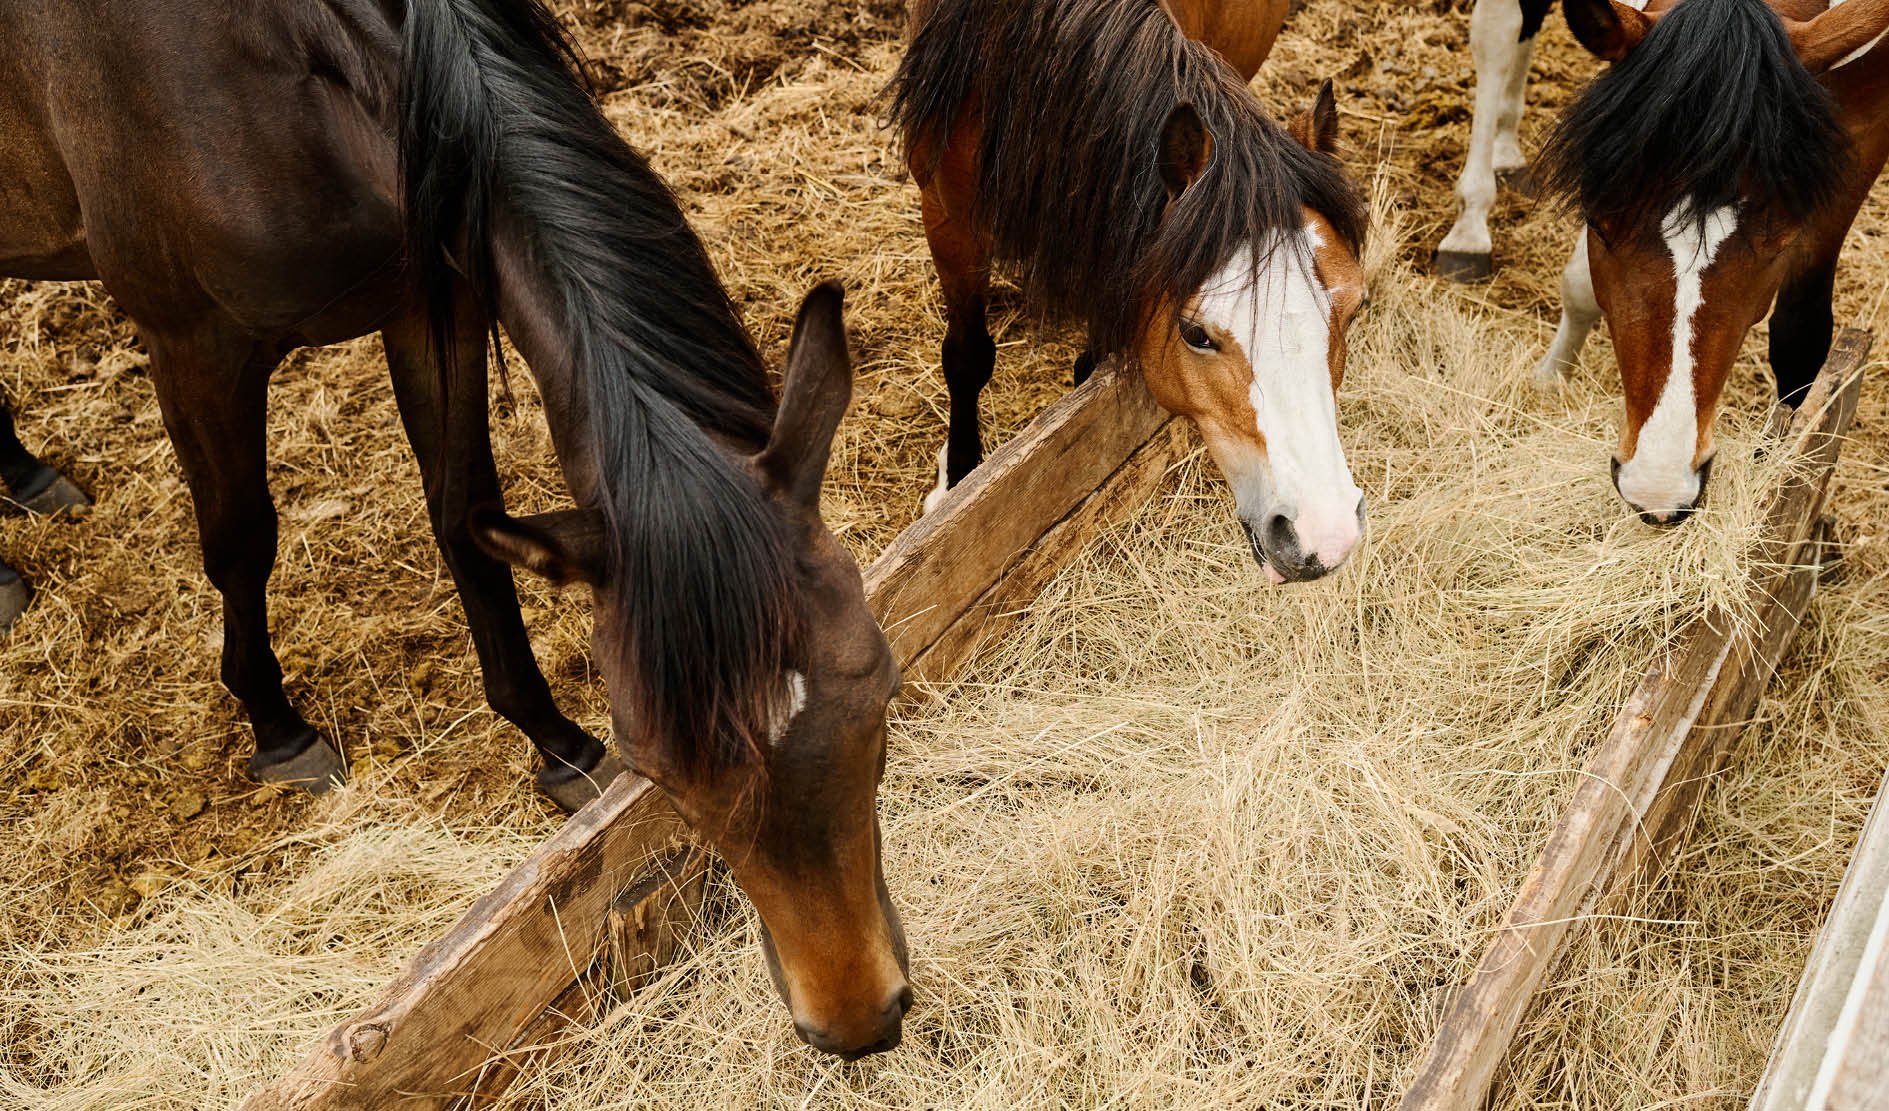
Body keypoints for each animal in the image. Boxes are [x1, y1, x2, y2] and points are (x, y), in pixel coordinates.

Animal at [0, 0, 910, 1058]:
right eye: (659, 769)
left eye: (882, 686)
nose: (852, 1019)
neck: (270, 63)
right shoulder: (191, 346)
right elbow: (241, 538)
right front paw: (277, 725)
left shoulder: (432, 299)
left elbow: (463, 512)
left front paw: (551, 738)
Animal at [888, 0, 1374, 583]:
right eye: (1195, 334)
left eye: (1355, 308)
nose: (1326, 536)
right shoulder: (946, 216)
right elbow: (967, 357)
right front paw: (958, 478)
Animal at [1532, 0, 1889, 523]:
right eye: (1597, 223)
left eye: (1782, 243)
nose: (1657, 488)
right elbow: (1580, 284)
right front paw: (1549, 377)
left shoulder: (1863, 135)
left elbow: (1800, 337)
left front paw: (1774, 467)